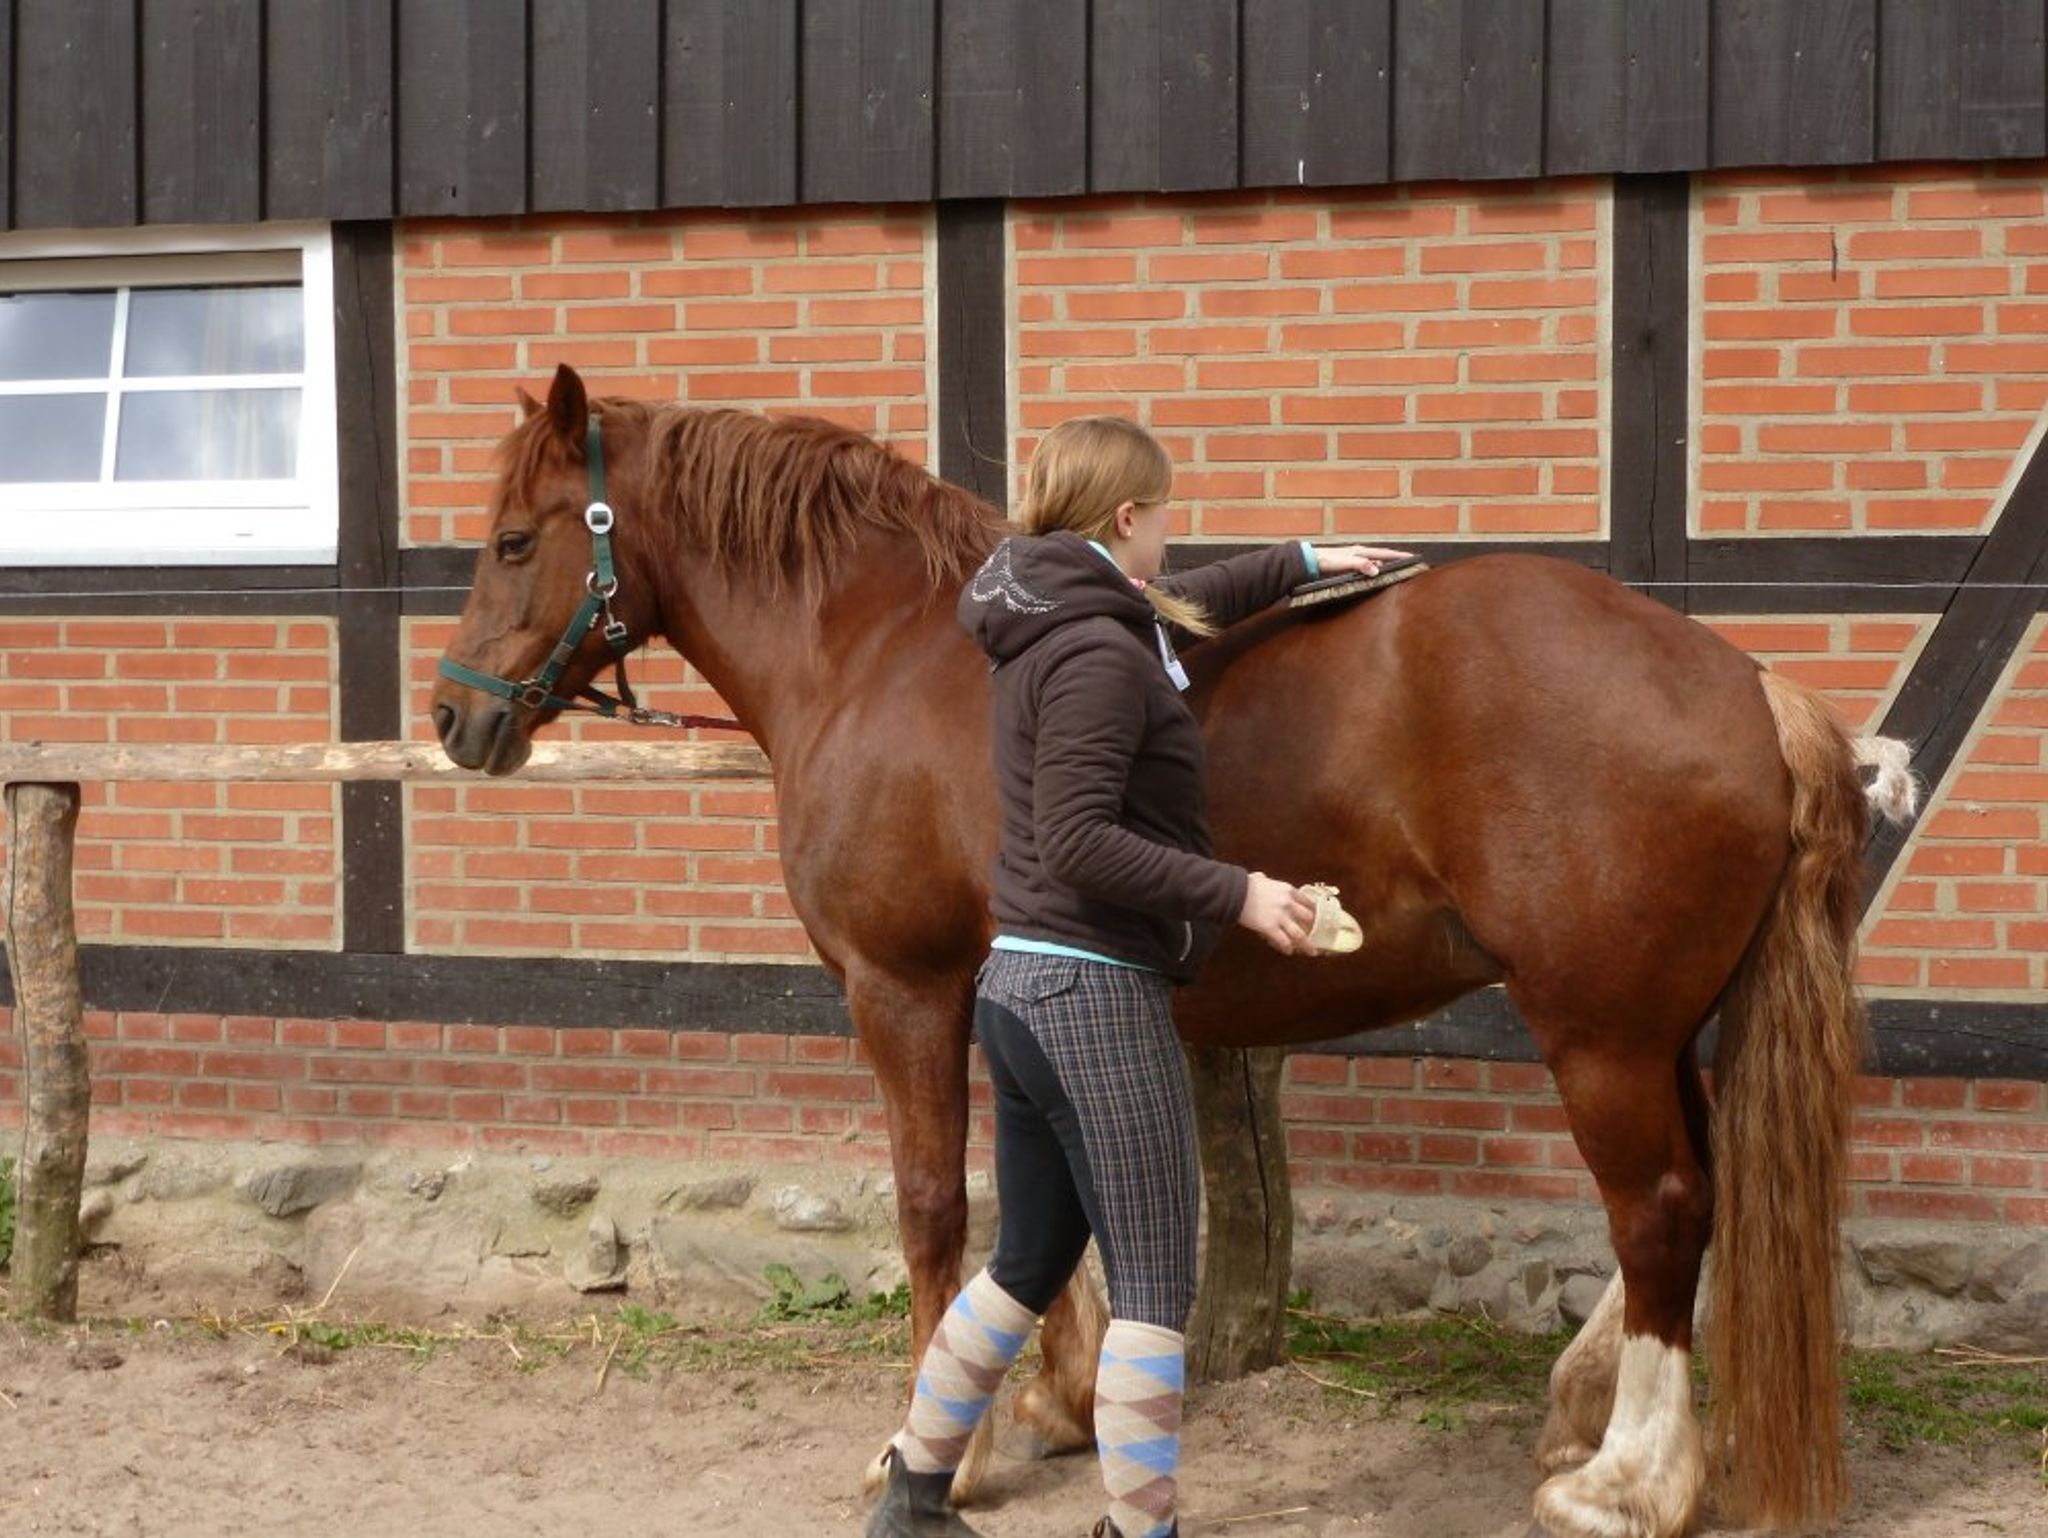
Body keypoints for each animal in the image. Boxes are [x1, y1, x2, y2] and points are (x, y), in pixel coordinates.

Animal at [436, 370, 1916, 1538]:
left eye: (513, 537)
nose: (457, 718)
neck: (882, 649)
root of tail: (1742, 684)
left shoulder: (902, 991)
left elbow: (933, 1210)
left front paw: (942, 1449)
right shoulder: (1014, 998)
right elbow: (1039, 1217)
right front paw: (1048, 1398)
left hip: (1600, 1034)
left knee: (1659, 1209)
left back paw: (1624, 1480)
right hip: (1660, 1033)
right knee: (1697, 1203)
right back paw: (1587, 1413)